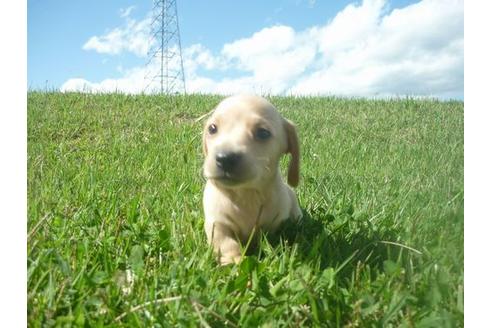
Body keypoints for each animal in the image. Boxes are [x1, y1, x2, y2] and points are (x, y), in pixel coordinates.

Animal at [202, 94, 302, 264]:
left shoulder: (273, 224)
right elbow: (226, 243)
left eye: (263, 133)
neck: (245, 194)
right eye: (212, 128)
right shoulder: (217, 223)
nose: (225, 158)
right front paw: (235, 261)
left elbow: (266, 237)